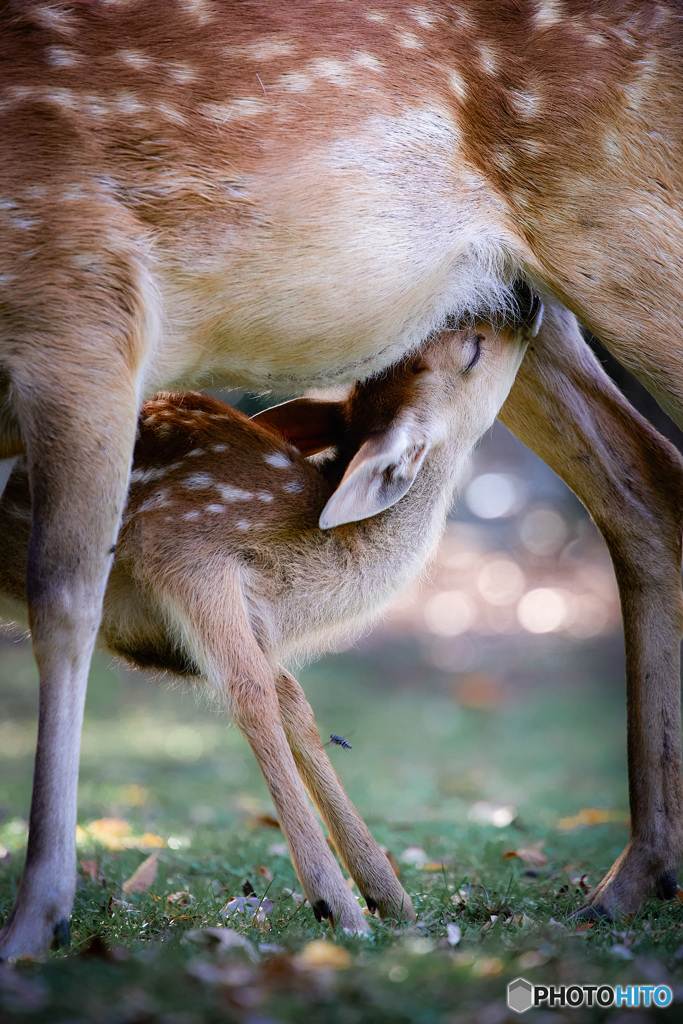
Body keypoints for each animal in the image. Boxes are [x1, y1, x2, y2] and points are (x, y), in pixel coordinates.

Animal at [0, 0, 679, 958]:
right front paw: (366, 895)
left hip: (625, 233)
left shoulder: (79, 301)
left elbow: (74, 602)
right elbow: (264, 682)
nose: (506, 306)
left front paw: (36, 915)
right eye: (465, 348)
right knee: (644, 485)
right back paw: (628, 882)